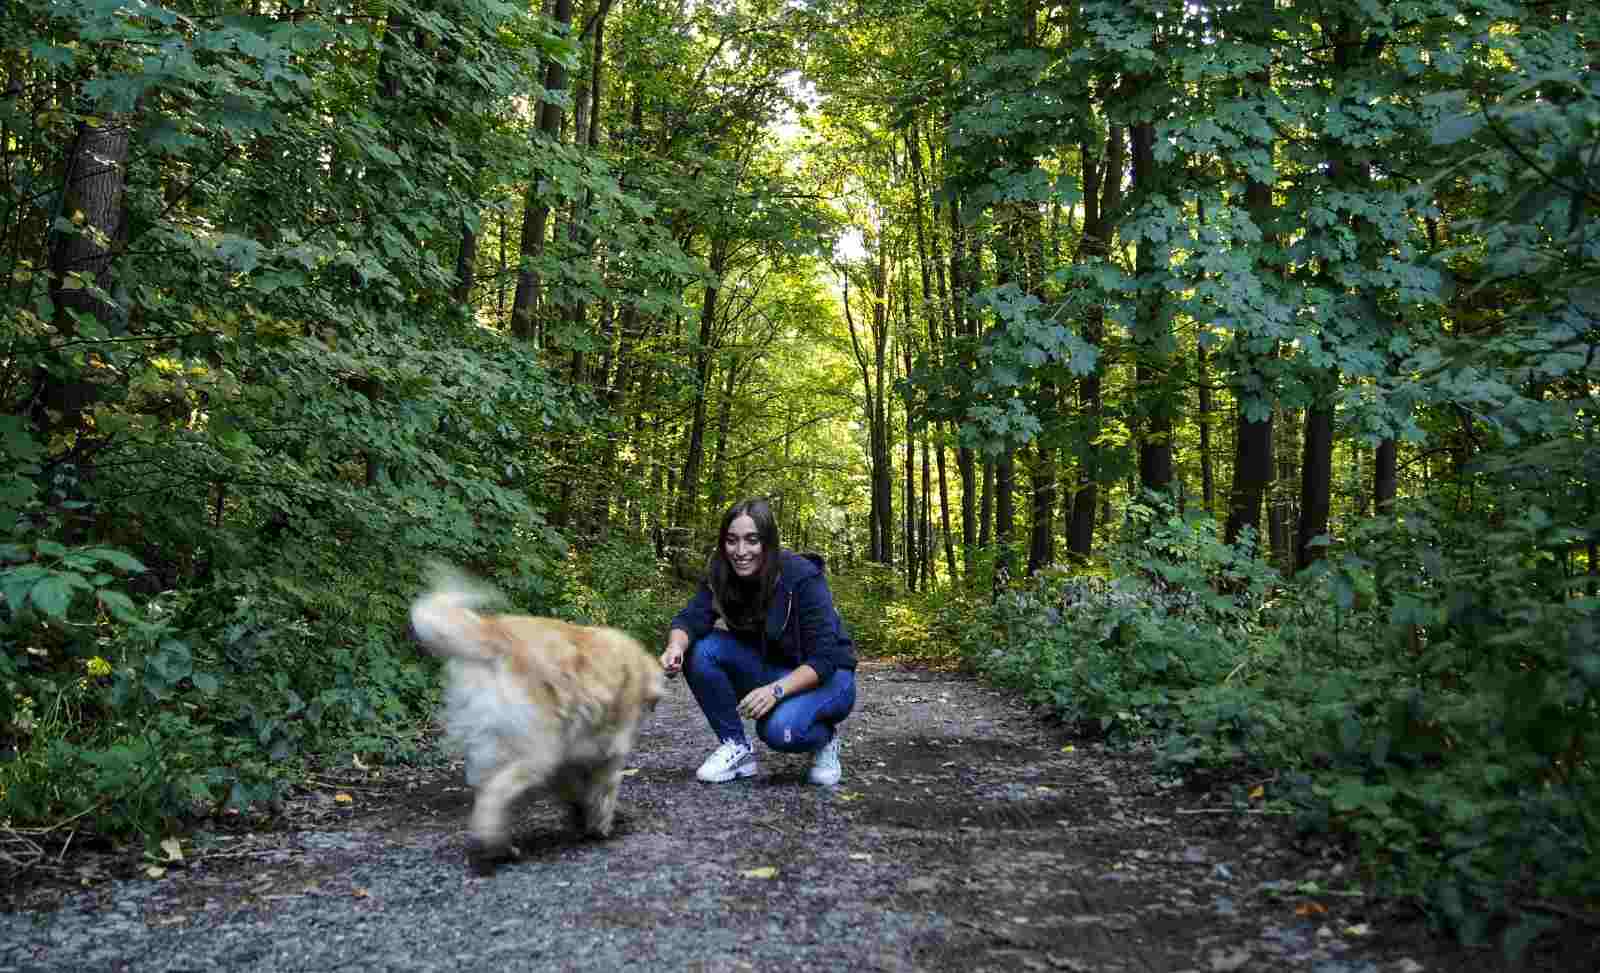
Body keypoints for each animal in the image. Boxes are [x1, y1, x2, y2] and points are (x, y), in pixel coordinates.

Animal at [409, 567, 664, 874]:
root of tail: (494, 633)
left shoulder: (569, 759)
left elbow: (577, 791)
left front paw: (582, 817)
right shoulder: (609, 753)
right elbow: (604, 791)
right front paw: (599, 826)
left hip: (497, 748)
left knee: (488, 794)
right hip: (538, 752)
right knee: (493, 799)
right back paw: (495, 848)